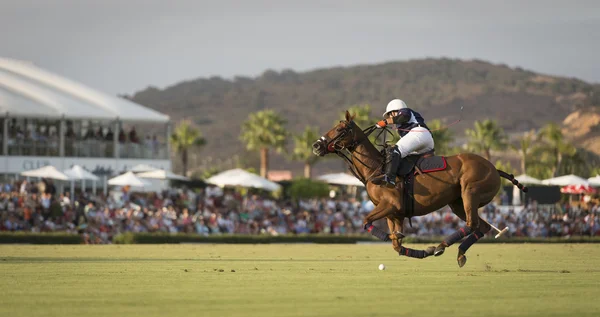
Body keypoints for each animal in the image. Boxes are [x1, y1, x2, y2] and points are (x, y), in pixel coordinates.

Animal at [314, 111, 524, 266]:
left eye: (340, 129)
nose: (316, 145)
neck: (376, 168)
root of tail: (495, 169)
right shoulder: (394, 215)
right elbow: (397, 246)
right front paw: (419, 249)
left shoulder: (390, 205)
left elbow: (367, 222)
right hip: (457, 203)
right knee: (483, 226)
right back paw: (457, 252)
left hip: (470, 193)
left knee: (473, 224)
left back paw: (440, 246)